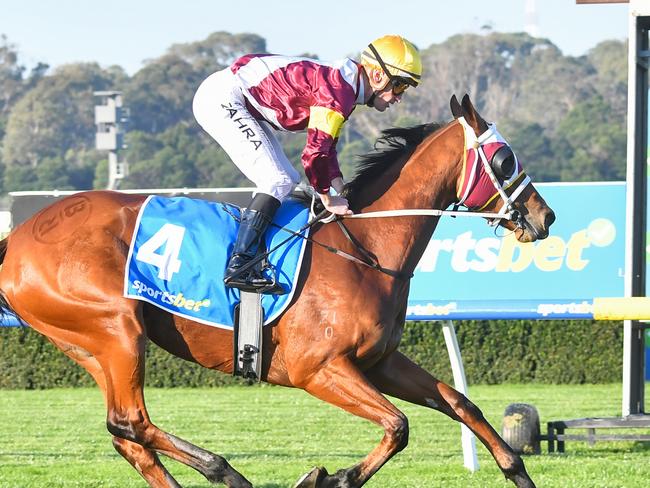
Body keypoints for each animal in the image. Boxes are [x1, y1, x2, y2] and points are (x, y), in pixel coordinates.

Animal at [0, 93, 552, 486]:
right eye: (504, 159)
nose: (545, 216)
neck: (364, 247)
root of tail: (18, 236)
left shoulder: (378, 362)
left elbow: (460, 403)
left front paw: (516, 469)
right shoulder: (318, 369)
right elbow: (398, 426)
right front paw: (330, 478)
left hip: (89, 345)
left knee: (125, 433)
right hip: (115, 328)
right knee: (131, 421)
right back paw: (226, 471)